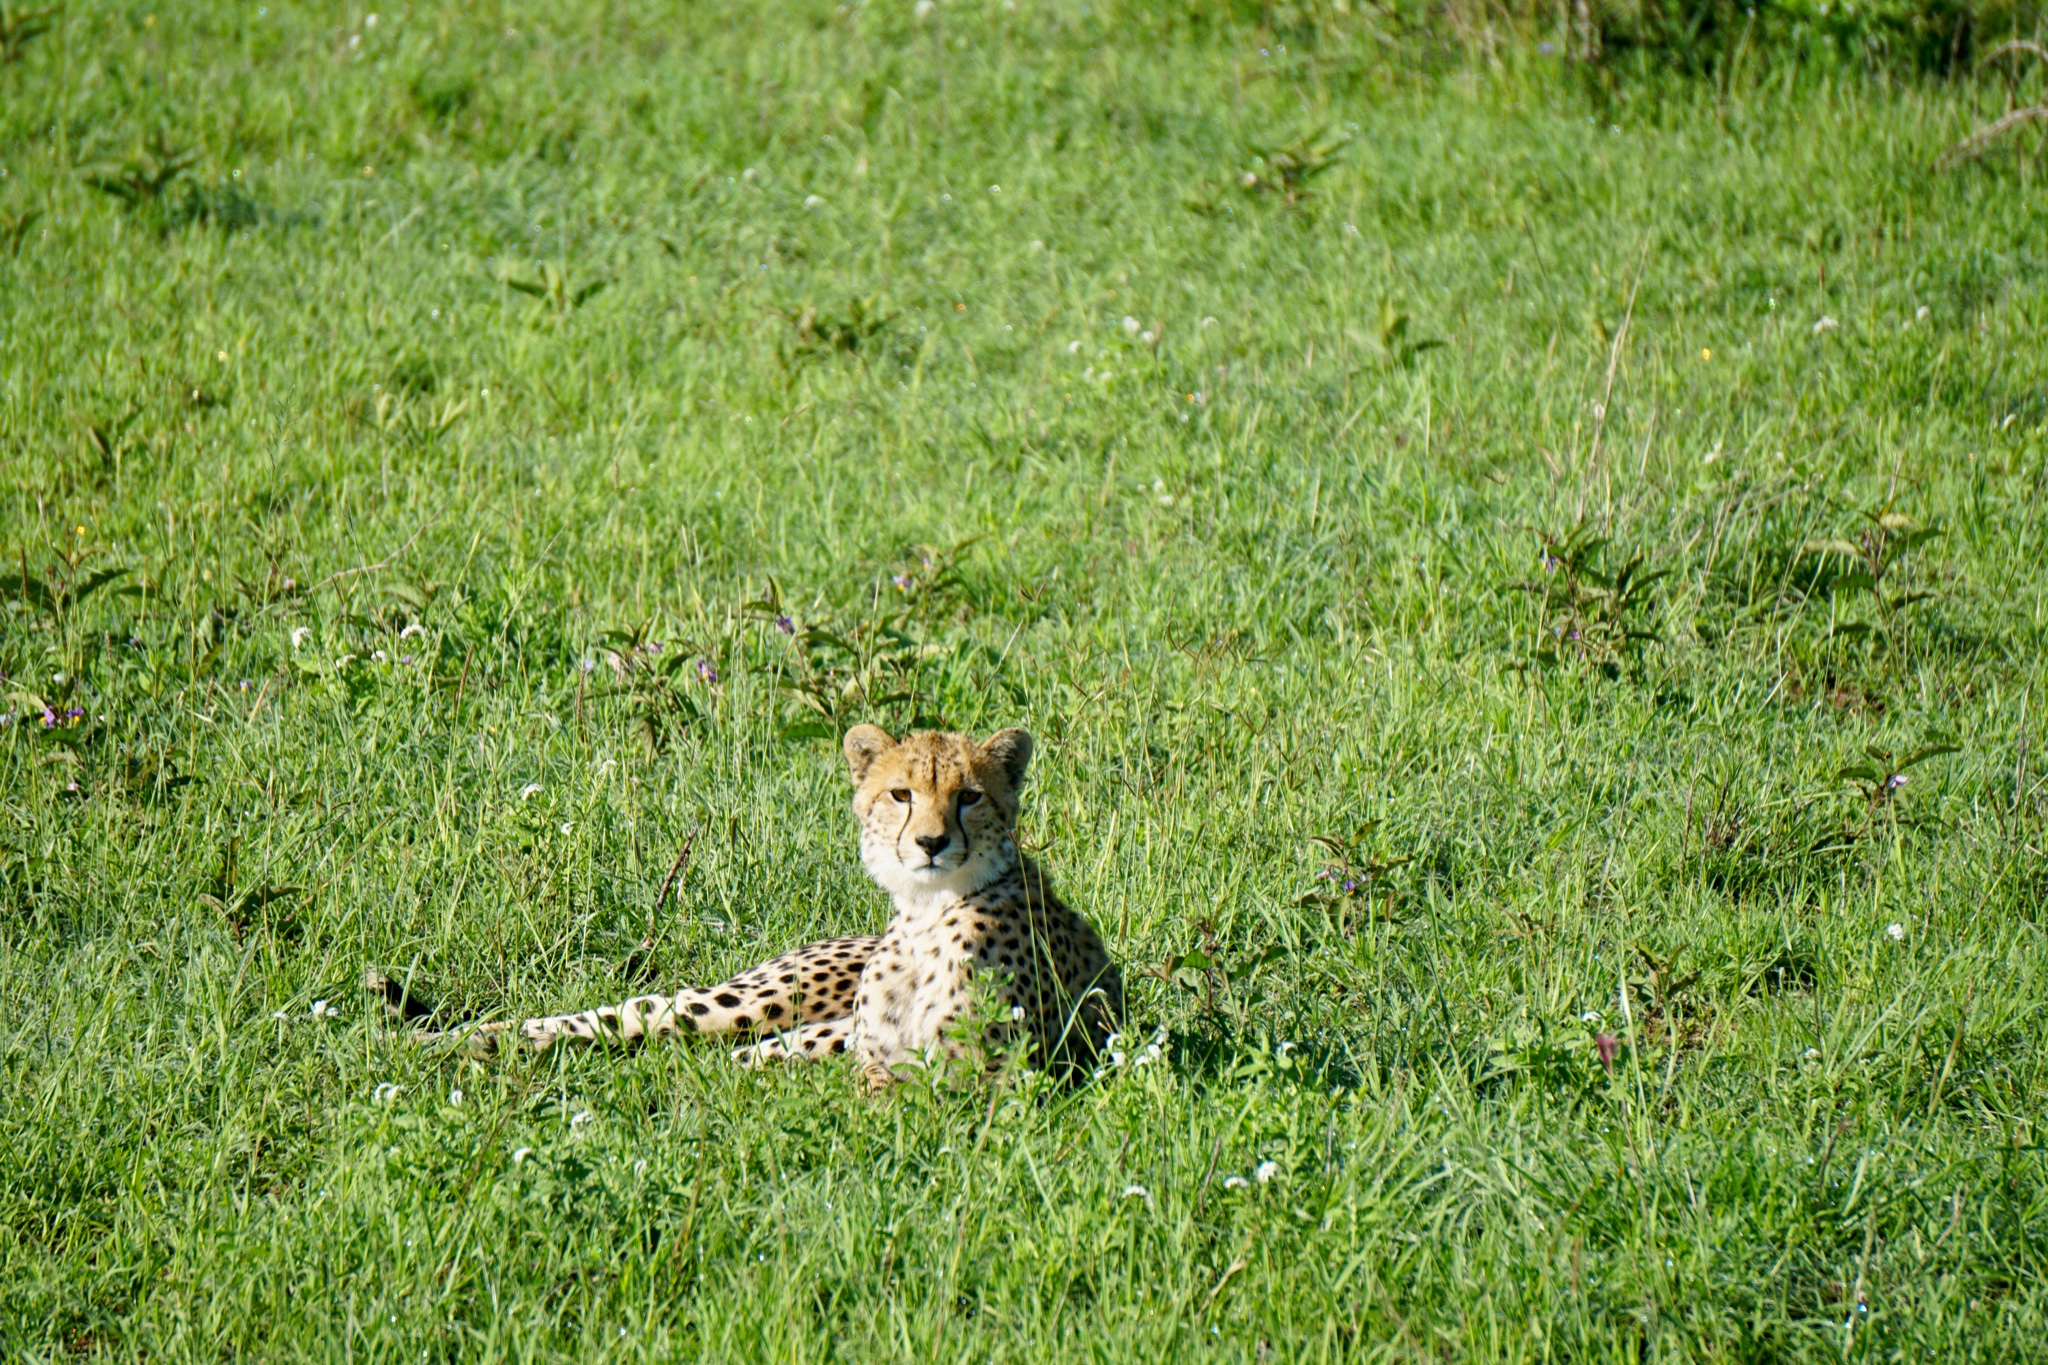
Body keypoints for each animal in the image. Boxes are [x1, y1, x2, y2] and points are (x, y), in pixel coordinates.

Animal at [385, 724, 1122, 1088]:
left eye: (969, 795)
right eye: (902, 794)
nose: (932, 842)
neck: (922, 912)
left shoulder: (985, 1074)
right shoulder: (882, 1057)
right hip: (754, 1002)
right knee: (635, 1015)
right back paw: (440, 1038)